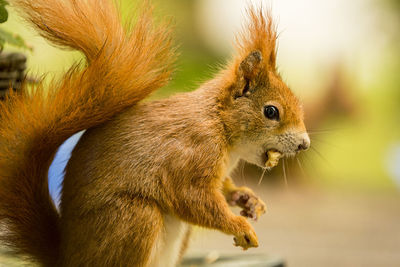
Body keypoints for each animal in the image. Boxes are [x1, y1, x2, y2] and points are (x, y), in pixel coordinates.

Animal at [0, 0, 310, 267]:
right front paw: (239, 226)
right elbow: (193, 199)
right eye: (271, 111)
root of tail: (66, 257)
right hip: (133, 219)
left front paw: (246, 198)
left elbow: (223, 188)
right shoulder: (190, 154)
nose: (305, 144)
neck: (220, 127)